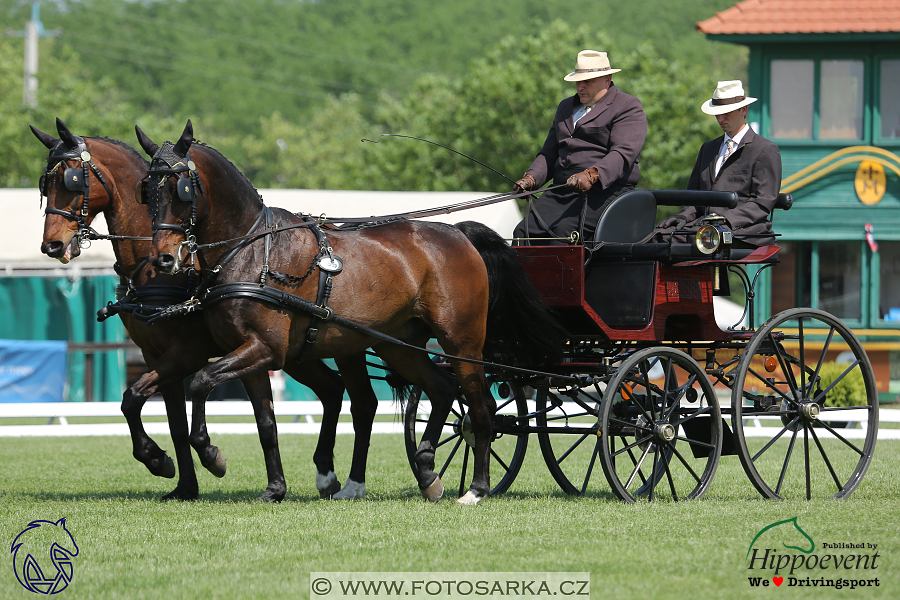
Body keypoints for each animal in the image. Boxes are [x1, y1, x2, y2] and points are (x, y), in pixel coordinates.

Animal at [30, 118, 366, 502]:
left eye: (71, 179)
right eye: (45, 184)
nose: (52, 245)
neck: (152, 269)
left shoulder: (187, 353)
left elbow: (146, 398)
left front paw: (176, 459)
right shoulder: (154, 354)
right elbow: (154, 412)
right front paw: (179, 480)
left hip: (335, 348)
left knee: (361, 401)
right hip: (297, 353)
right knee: (332, 390)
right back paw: (327, 475)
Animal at [136, 119, 560, 504]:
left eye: (181, 189)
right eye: (147, 192)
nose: (163, 259)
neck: (252, 250)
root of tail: (458, 233)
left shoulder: (265, 350)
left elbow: (201, 381)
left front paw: (212, 455)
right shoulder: (250, 353)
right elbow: (264, 422)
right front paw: (274, 489)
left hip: (462, 342)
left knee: (479, 406)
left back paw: (476, 489)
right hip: (398, 345)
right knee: (441, 390)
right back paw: (427, 474)